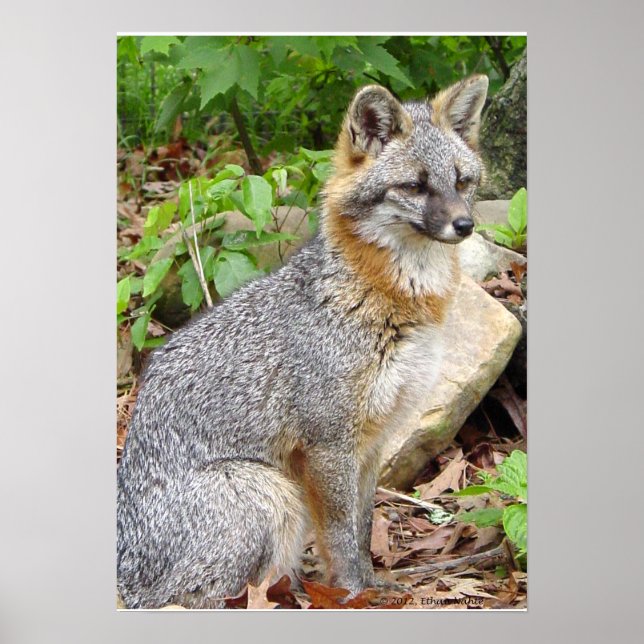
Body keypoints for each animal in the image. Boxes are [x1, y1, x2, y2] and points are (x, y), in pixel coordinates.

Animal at [117, 74, 489, 608]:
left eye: (462, 181)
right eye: (415, 186)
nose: (465, 225)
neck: (390, 303)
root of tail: (125, 573)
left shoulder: (374, 442)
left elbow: (361, 526)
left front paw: (373, 584)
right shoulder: (328, 443)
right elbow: (339, 534)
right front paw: (353, 593)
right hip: (269, 492)